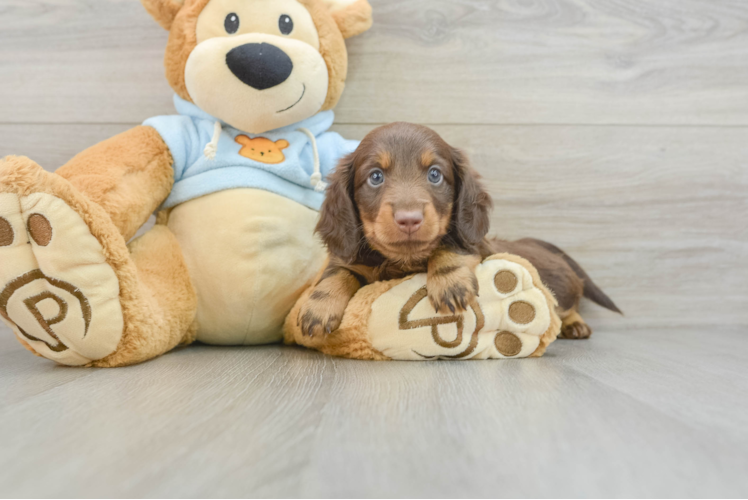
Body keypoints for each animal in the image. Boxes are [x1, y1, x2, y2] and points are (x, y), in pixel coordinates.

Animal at [298, 122, 620, 338]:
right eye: (375, 177)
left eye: (435, 174)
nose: (409, 219)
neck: (403, 262)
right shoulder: (353, 259)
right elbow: (337, 272)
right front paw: (319, 307)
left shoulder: (475, 244)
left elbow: (448, 245)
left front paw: (448, 282)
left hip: (560, 286)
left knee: (566, 303)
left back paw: (574, 324)